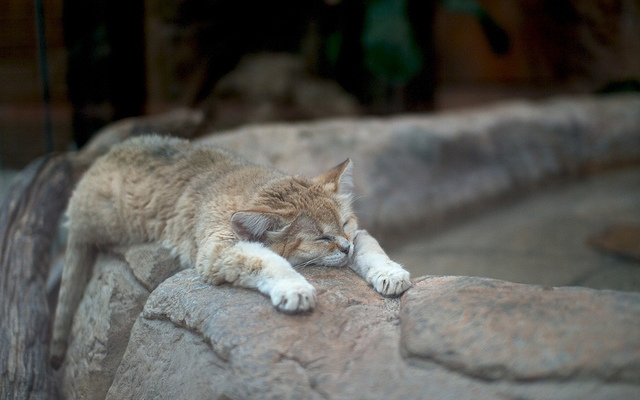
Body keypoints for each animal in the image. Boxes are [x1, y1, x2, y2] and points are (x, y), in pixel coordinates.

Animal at [48, 135, 410, 368]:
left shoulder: (359, 236)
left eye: (345, 224)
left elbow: (372, 250)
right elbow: (270, 261)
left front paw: (390, 273)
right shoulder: (216, 250)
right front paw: (294, 287)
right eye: (322, 238)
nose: (345, 248)